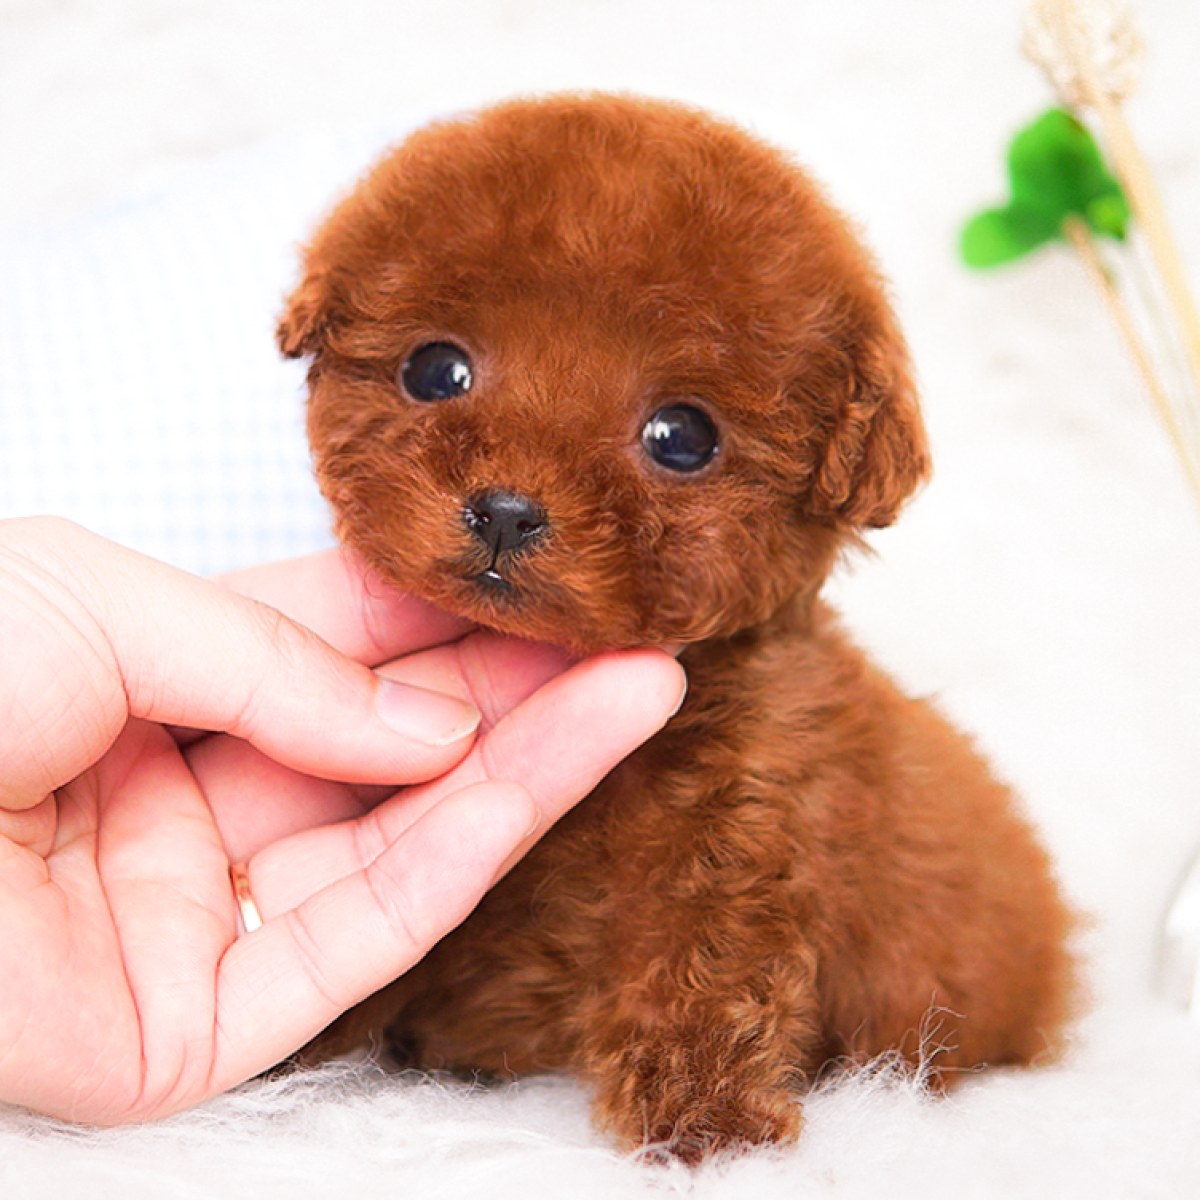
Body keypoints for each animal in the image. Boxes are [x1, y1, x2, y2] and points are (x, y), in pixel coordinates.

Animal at [283, 93, 1080, 1161]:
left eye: (682, 438)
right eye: (435, 369)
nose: (504, 512)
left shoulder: (734, 833)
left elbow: (699, 979)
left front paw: (710, 1132)